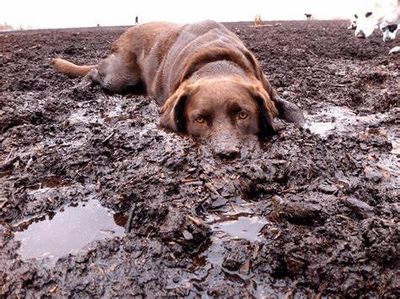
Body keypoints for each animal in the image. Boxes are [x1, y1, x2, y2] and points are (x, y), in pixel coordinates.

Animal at [52, 20, 304, 159]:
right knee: (95, 71)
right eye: (199, 119)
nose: (226, 154)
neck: (217, 63)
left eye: (243, 114)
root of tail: (125, 32)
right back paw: (82, 86)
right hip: (119, 77)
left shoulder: (268, 90)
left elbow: (295, 110)